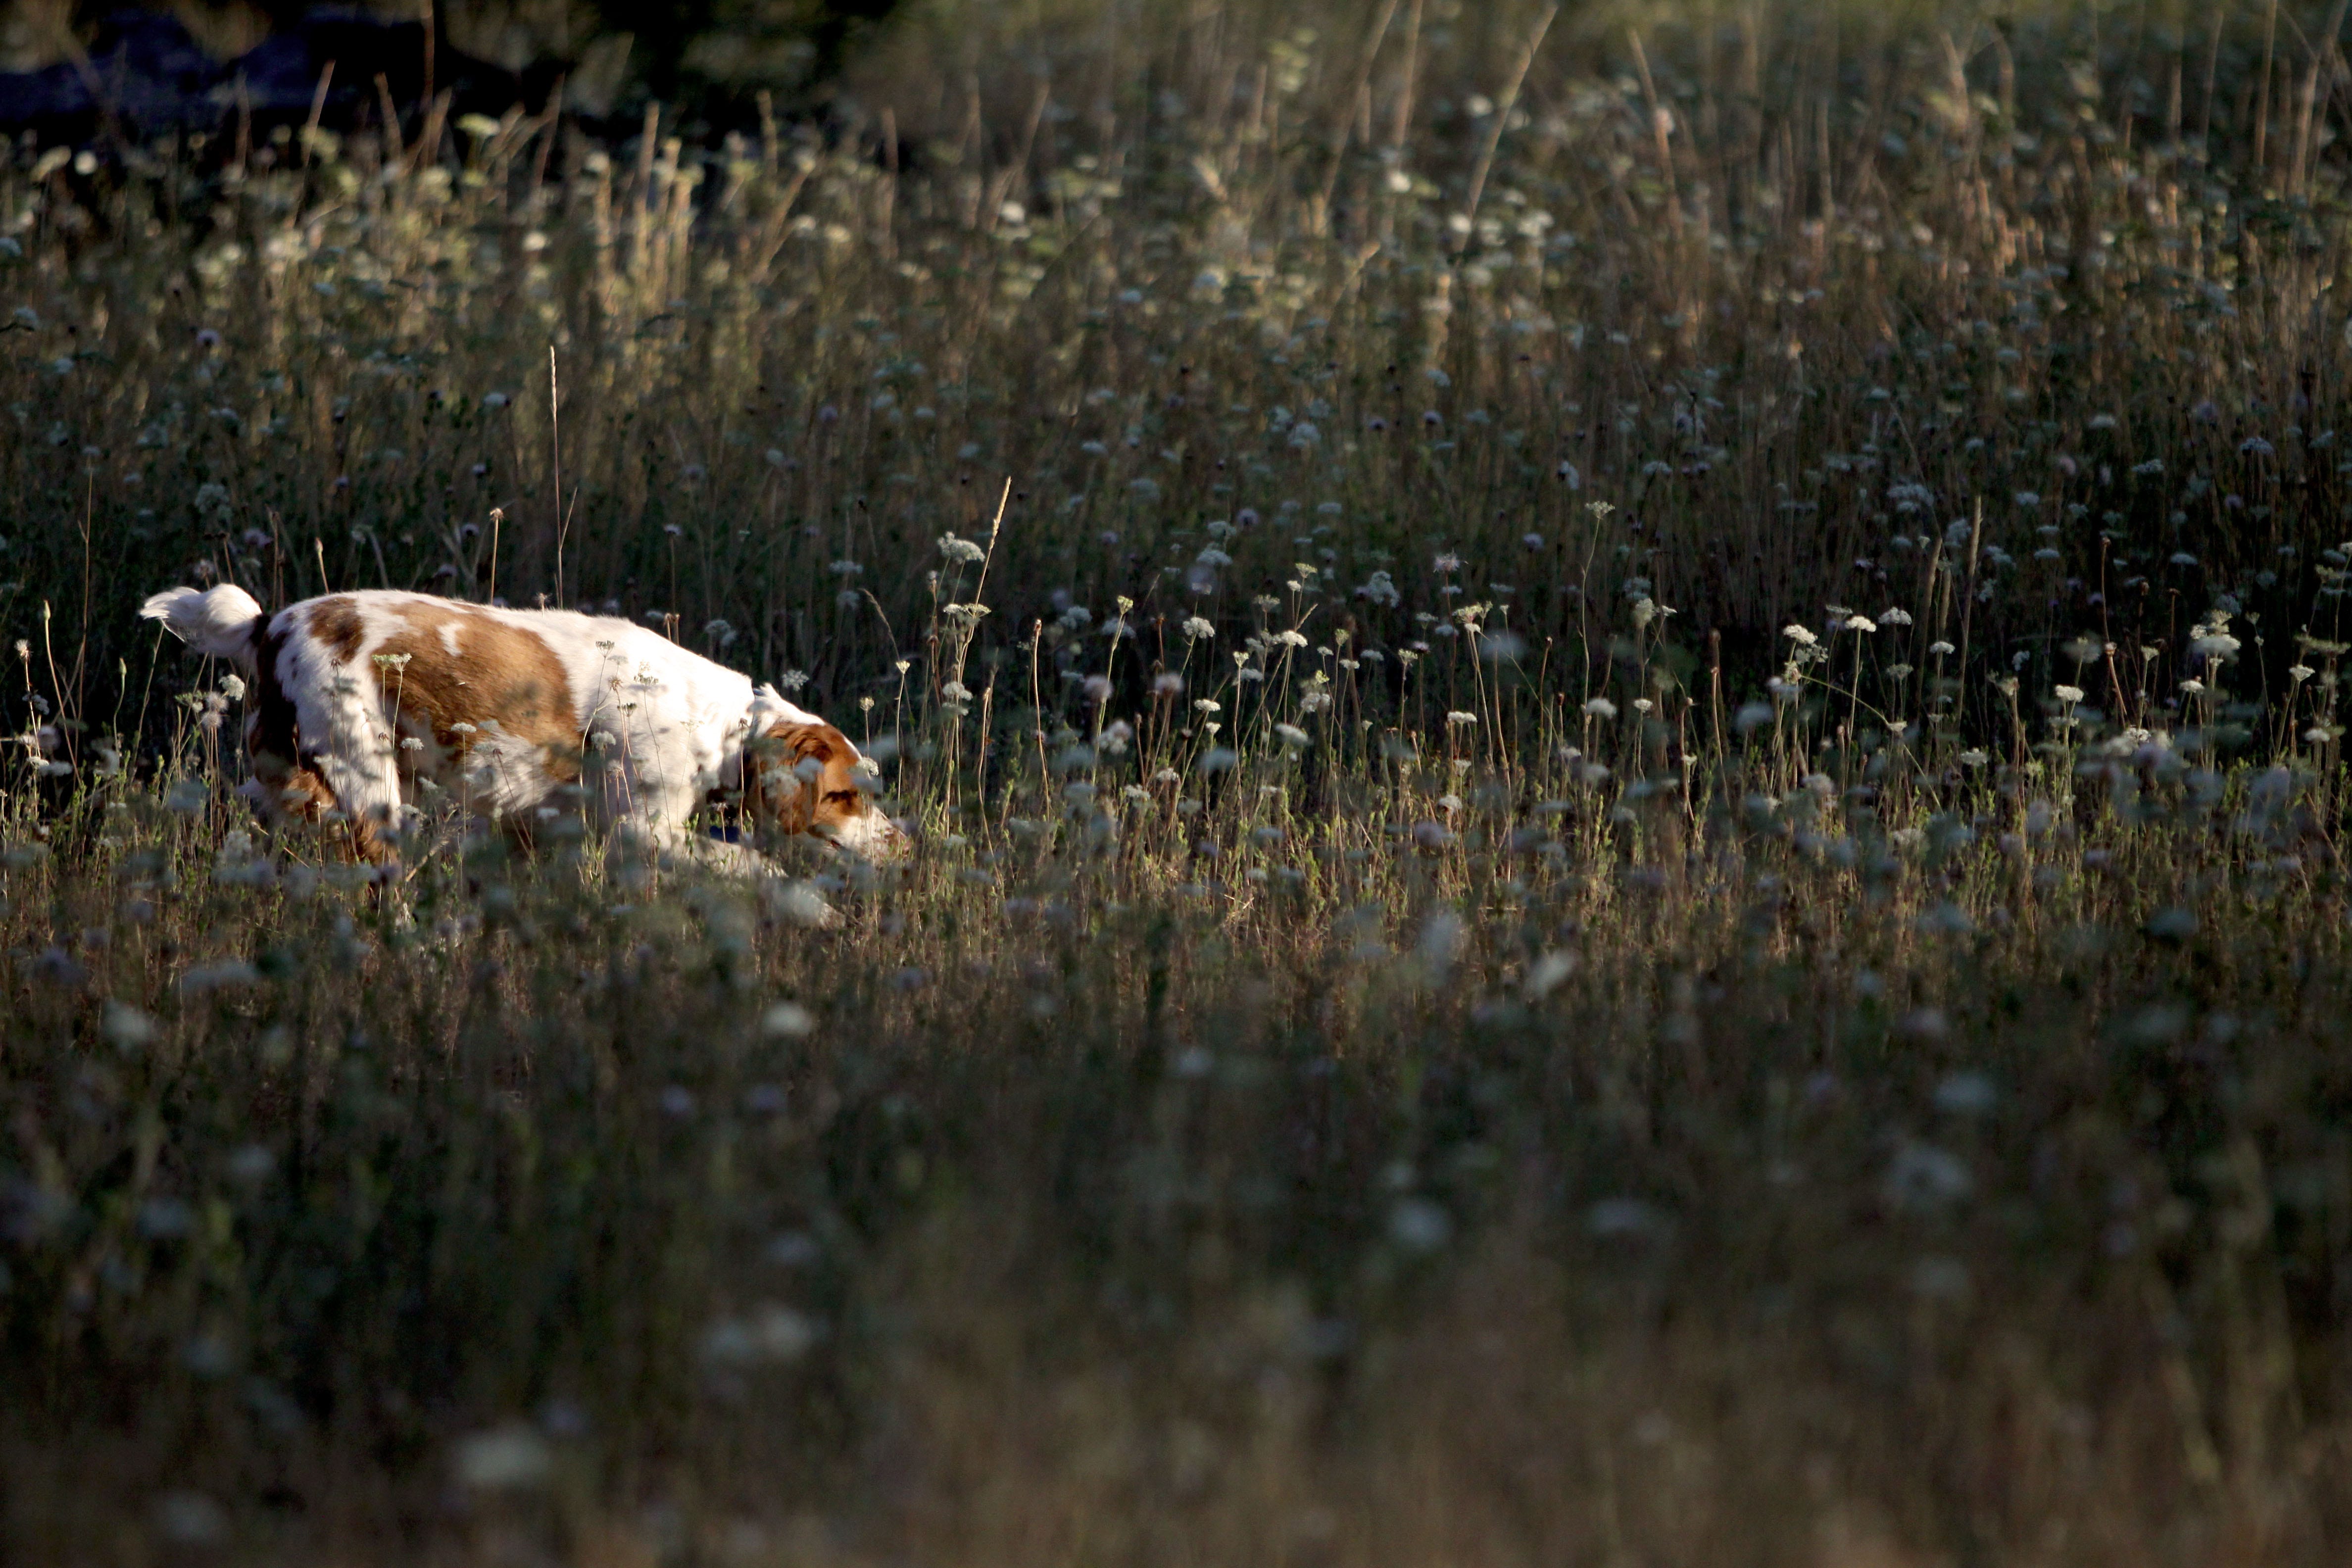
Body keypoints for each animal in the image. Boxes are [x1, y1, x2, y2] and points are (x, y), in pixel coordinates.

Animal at [140, 584, 907, 869]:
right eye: (844, 796)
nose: (904, 846)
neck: (722, 725)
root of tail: (265, 626)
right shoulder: (643, 831)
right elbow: (747, 863)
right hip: (369, 794)